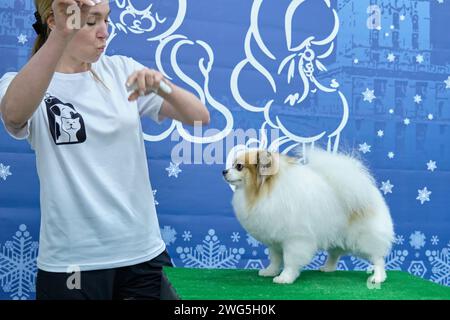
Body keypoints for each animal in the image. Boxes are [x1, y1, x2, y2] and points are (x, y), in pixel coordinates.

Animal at [224, 149, 394, 284]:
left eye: (239, 166)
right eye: (232, 164)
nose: (224, 171)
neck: (265, 193)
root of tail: (368, 190)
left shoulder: (295, 240)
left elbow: (289, 261)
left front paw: (285, 278)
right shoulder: (275, 240)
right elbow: (275, 259)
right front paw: (270, 271)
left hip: (364, 239)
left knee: (378, 258)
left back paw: (378, 277)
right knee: (335, 254)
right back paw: (327, 268)